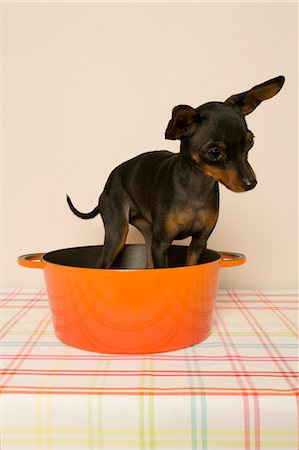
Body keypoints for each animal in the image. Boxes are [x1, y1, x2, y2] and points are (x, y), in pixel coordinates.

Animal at [67, 75, 286, 268]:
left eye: (250, 142)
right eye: (215, 152)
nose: (251, 183)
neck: (196, 187)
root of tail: (108, 183)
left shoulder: (198, 242)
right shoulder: (162, 244)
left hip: (148, 234)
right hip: (117, 232)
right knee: (102, 264)